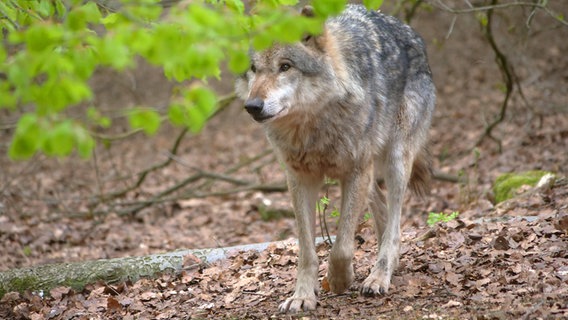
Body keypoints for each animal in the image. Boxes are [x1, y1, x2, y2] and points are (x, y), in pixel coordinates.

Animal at [235, 2, 434, 312]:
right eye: (254, 69)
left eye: (285, 66)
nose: (252, 106)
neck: (313, 125)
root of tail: (411, 32)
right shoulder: (300, 178)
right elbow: (307, 250)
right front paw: (302, 295)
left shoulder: (355, 171)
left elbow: (341, 246)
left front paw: (340, 281)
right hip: (370, 173)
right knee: (381, 211)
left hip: (395, 161)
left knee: (395, 224)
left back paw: (379, 276)